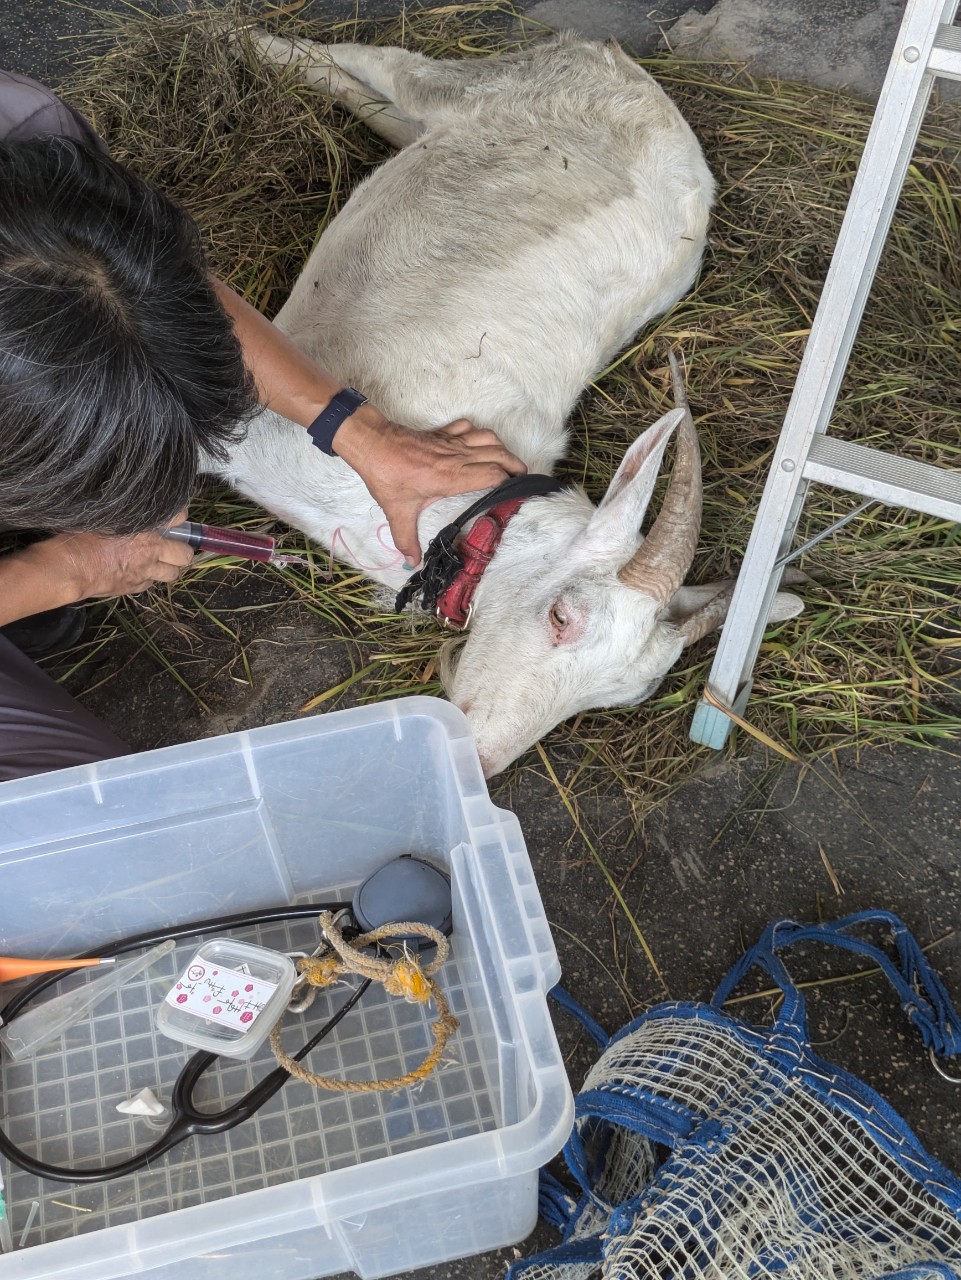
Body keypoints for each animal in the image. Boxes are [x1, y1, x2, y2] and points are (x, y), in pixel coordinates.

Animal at [212, 30, 803, 773]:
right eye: (561, 615)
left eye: (619, 698)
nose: (484, 761)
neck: (464, 516)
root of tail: (629, 70)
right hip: (488, 81)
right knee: (382, 63)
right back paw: (258, 46)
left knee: (395, 113)